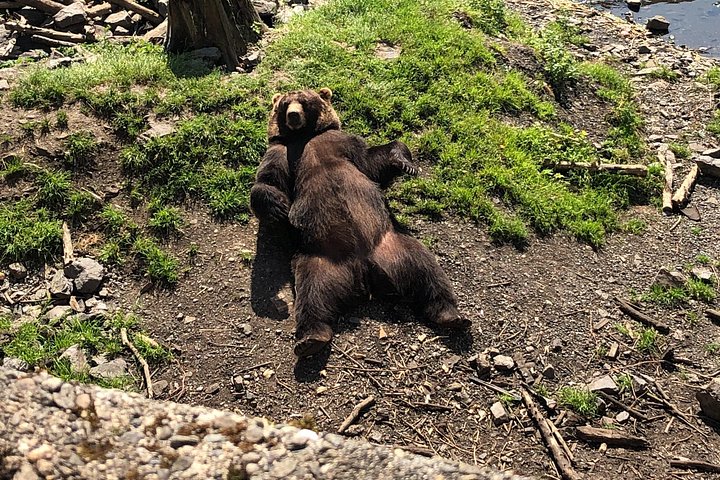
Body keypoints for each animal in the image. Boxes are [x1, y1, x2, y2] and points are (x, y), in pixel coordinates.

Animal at [250, 88, 469, 357]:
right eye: (284, 104)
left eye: (303, 101)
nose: (293, 115)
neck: (305, 137)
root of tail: (364, 268)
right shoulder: (281, 152)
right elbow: (269, 180)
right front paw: (279, 208)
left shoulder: (342, 143)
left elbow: (373, 160)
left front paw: (407, 164)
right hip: (319, 259)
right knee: (312, 294)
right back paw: (311, 339)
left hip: (394, 245)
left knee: (427, 271)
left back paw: (453, 315)